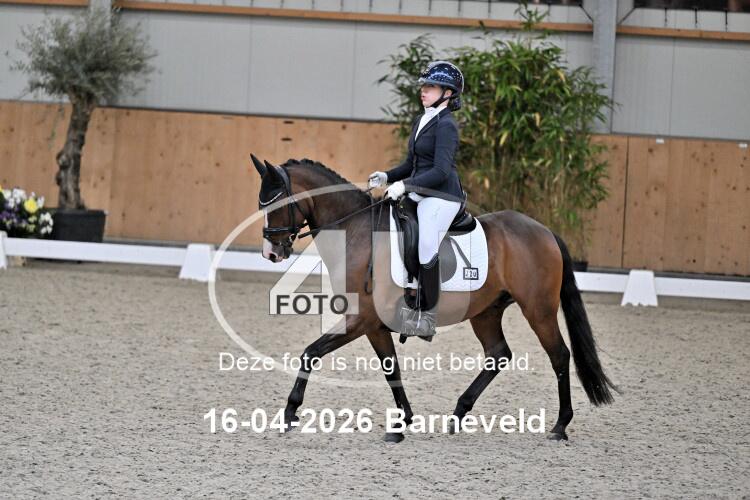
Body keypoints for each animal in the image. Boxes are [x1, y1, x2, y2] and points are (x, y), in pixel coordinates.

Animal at [250, 155, 617, 443]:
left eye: (276, 204)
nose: (271, 252)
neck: (356, 232)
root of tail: (544, 231)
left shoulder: (361, 319)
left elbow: (311, 353)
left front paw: (290, 413)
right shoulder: (373, 325)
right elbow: (391, 369)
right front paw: (403, 423)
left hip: (537, 309)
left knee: (559, 355)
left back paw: (559, 425)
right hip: (486, 312)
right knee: (498, 355)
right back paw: (457, 414)